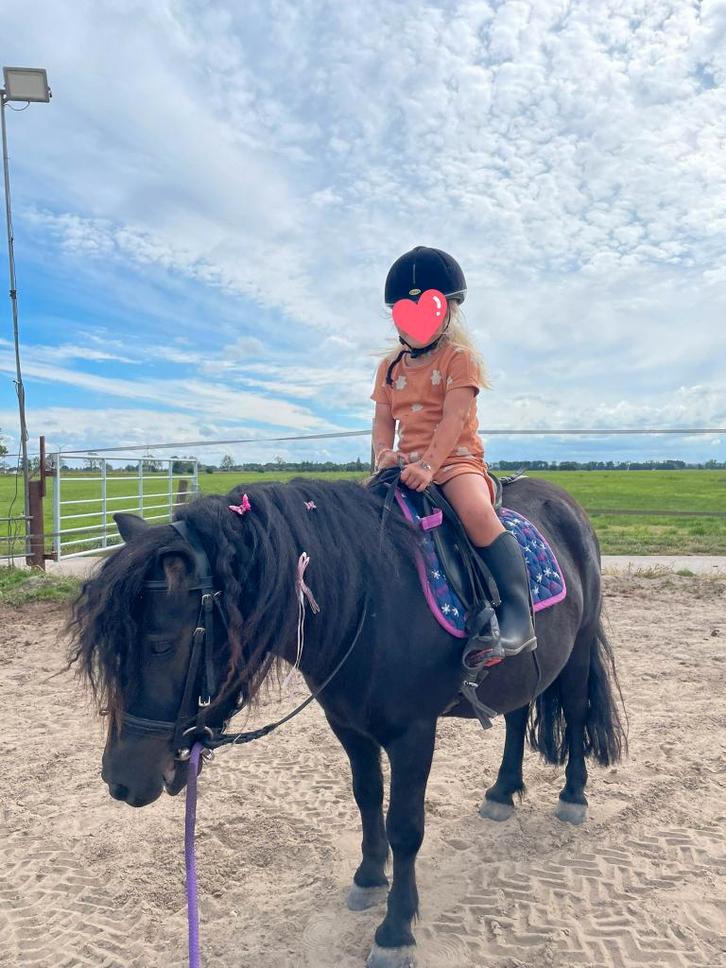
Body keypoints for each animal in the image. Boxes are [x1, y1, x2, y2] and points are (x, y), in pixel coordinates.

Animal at [66, 474, 626, 968]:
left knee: (577, 715)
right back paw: (502, 792)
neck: (370, 599)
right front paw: (368, 878)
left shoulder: (413, 734)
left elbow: (405, 827)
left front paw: (396, 932)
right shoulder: (350, 726)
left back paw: (574, 796)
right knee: (516, 717)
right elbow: (366, 799)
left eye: (162, 644)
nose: (119, 780)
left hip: (579, 647)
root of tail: (565, 503)